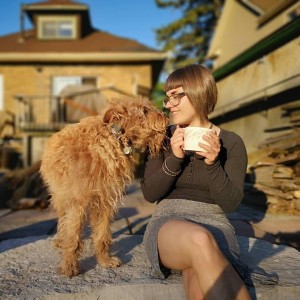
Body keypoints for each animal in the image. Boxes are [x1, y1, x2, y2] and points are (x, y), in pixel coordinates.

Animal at [39, 98, 169, 276]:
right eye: (144, 111)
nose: (166, 117)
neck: (113, 141)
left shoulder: (105, 201)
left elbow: (102, 235)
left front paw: (104, 261)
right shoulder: (77, 204)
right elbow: (73, 238)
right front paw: (69, 266)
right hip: (61, 197)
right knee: (62, 219)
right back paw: (61, 241)